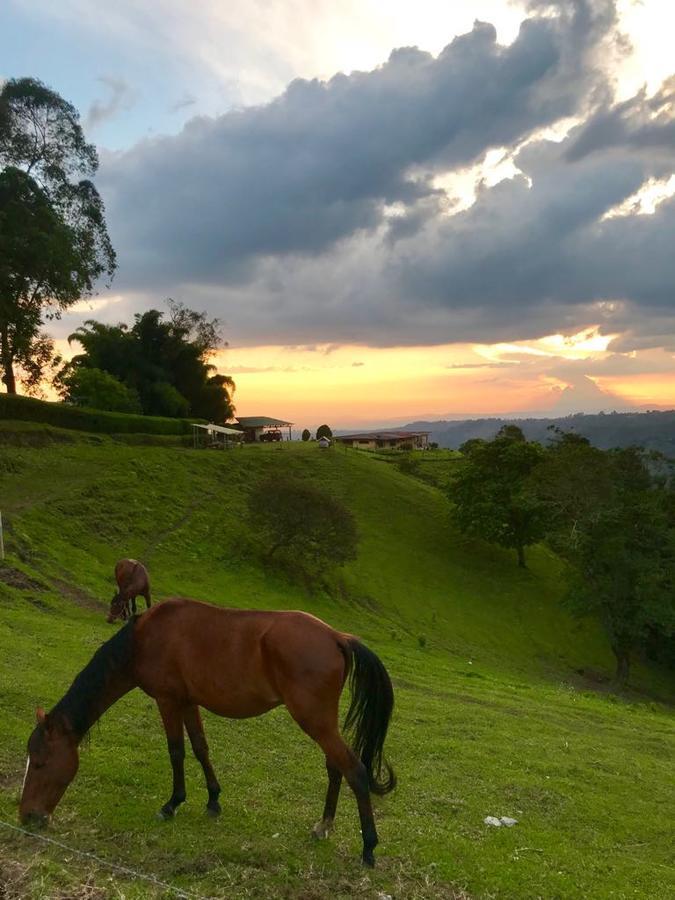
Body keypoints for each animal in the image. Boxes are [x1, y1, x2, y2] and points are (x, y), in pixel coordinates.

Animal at [18, 596, 396, 864]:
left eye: (40, 763)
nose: (27, 816)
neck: (143, 639)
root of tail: (336, 636)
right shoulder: (188, 702)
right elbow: (200, 747)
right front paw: (213, 799)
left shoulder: (168, 701)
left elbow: (176, 751)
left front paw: (172, 803)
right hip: (321, 723)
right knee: (336, 768)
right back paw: (324, 826)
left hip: (315, 721)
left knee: (355, 770)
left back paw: (368, 847)